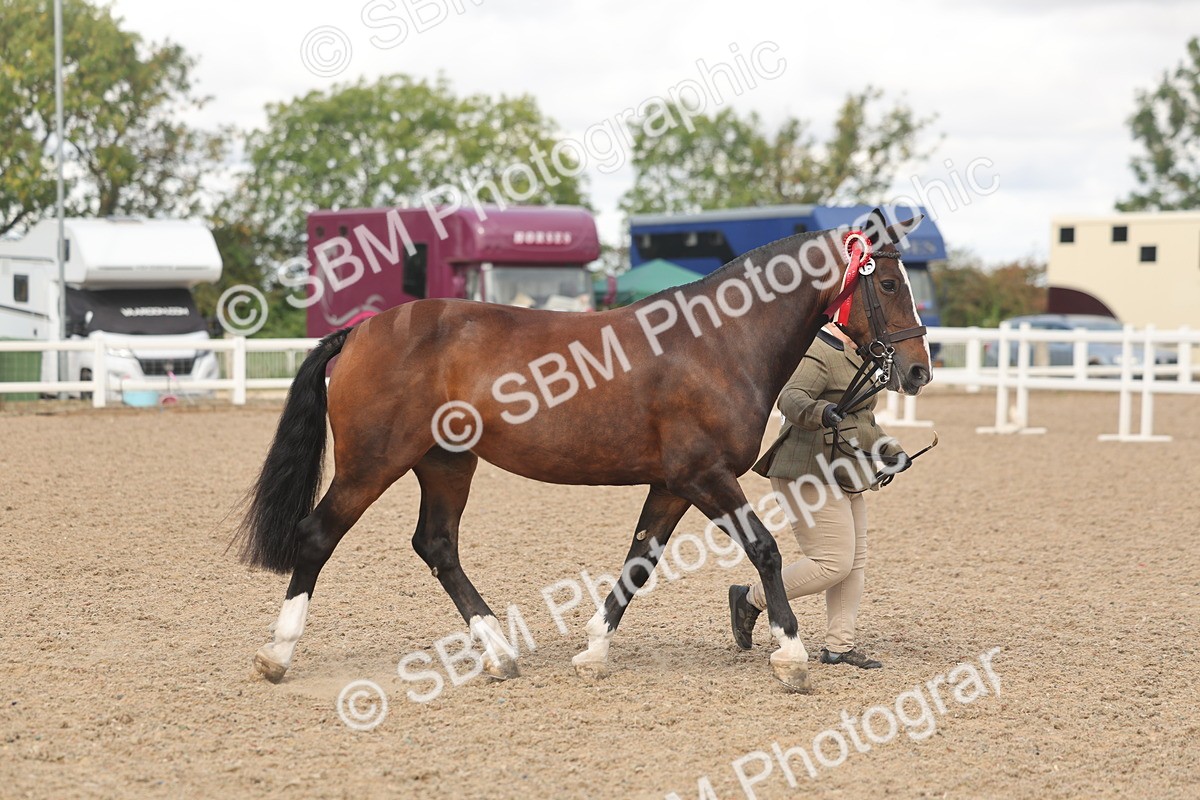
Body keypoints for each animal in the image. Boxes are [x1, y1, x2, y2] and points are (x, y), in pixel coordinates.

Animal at [234, 207, 932, 693]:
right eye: (888, 283)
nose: (919, 370)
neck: (718, 342)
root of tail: (359, 332)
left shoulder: (672, 484)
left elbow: (638, 564)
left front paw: (593, 651)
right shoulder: (705, 477)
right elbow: (765, 550)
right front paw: (791, 656)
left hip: (446, 463)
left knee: (437, 546)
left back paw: (500, 654)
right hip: (373, 463)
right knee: (319, 535)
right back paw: (275, 654)